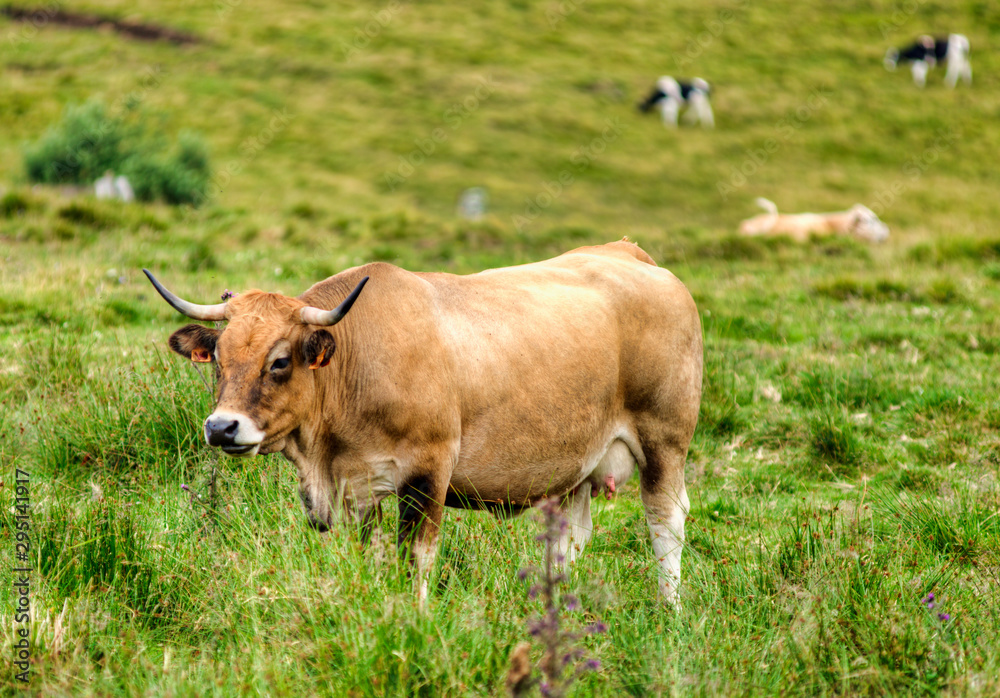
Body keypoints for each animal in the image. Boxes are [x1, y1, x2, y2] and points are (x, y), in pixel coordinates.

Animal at [146, 239, 704, 604]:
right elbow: (371, 558)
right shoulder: (358, 487)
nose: (221, 427)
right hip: (578, 465)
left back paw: (668, 610)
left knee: (665, 522)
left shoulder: (429, 473)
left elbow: (416, 557)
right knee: (568, 540)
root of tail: (628, 253)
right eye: (218, 358)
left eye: (280, 361)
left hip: (664, 439)